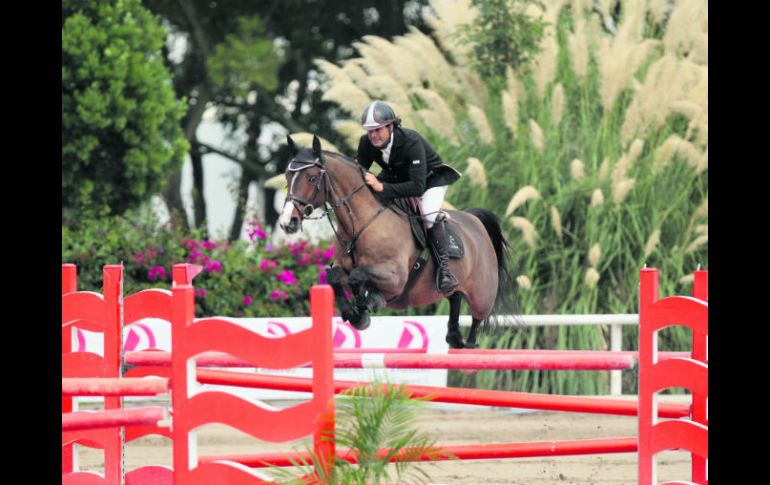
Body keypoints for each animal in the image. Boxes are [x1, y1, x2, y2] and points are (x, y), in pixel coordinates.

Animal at [280, 135, 512, 348]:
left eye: (311, 178)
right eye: (287, 176)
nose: (287, 222)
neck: (362, 224)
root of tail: (475, 221)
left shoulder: (395, 279)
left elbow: (357, 276)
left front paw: (368, 303)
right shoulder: (343, 268)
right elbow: (334, 277)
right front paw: (356, 314)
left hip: (481, 294)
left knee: (476, 320)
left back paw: (468, 345)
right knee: (454, 298)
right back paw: (454, 336)